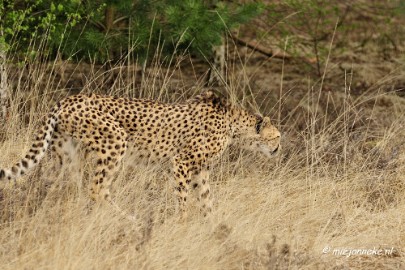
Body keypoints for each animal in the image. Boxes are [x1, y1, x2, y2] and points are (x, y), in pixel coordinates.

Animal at [0, 92, 280, 216]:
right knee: (97, 189)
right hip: (116, 141)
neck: (235, 125)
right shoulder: (181, 162)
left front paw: (212, 226)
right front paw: (183, 222)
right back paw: (126, 219)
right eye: (276, 136)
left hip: (67, 156)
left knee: (60, 185)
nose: (279, 149)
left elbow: (207, 200)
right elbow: (184, 199)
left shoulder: (201, 169)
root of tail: (70, 98)